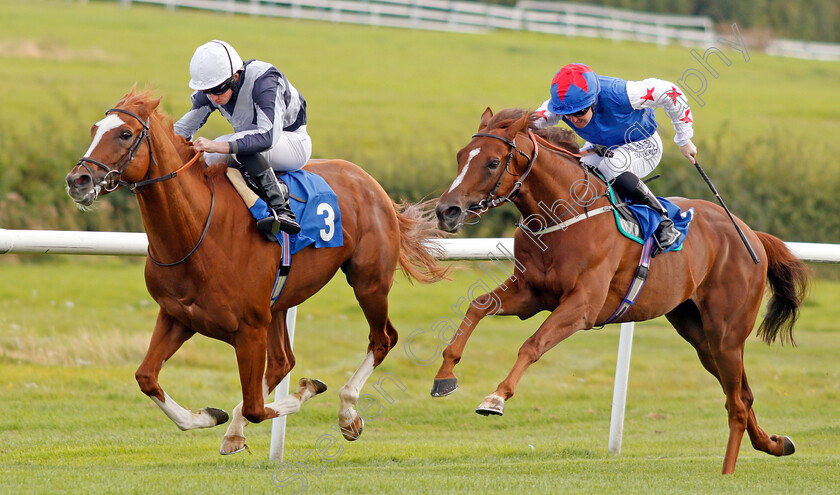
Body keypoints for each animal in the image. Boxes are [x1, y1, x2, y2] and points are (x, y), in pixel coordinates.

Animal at [65, 88, 446, 454]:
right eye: (94, 130)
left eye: (125, 133)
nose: (77, 179)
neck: (198, 230)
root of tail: (370, 182)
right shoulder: (178, 316)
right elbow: (147, 377)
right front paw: (211, 416)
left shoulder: (249, 328)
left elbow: (256, 407)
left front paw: (306, 390)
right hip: (279, 303)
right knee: (282, 362)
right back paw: (238, 430)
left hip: (369, 282)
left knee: (382, 339)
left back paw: (348, 413)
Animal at [434, 109, 808, 476]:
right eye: (460, 156)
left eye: (493, 162)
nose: (446, 211)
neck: (564, 214)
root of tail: (751, 233)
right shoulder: (531, 293)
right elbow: (478, 305)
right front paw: (445, 376)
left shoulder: (583, 306)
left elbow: (532, 344)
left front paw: (495, 398)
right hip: (698, 334)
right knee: (743, 394)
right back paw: (776, 444)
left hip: (727, 334)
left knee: (737, 403)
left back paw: (727, 472)